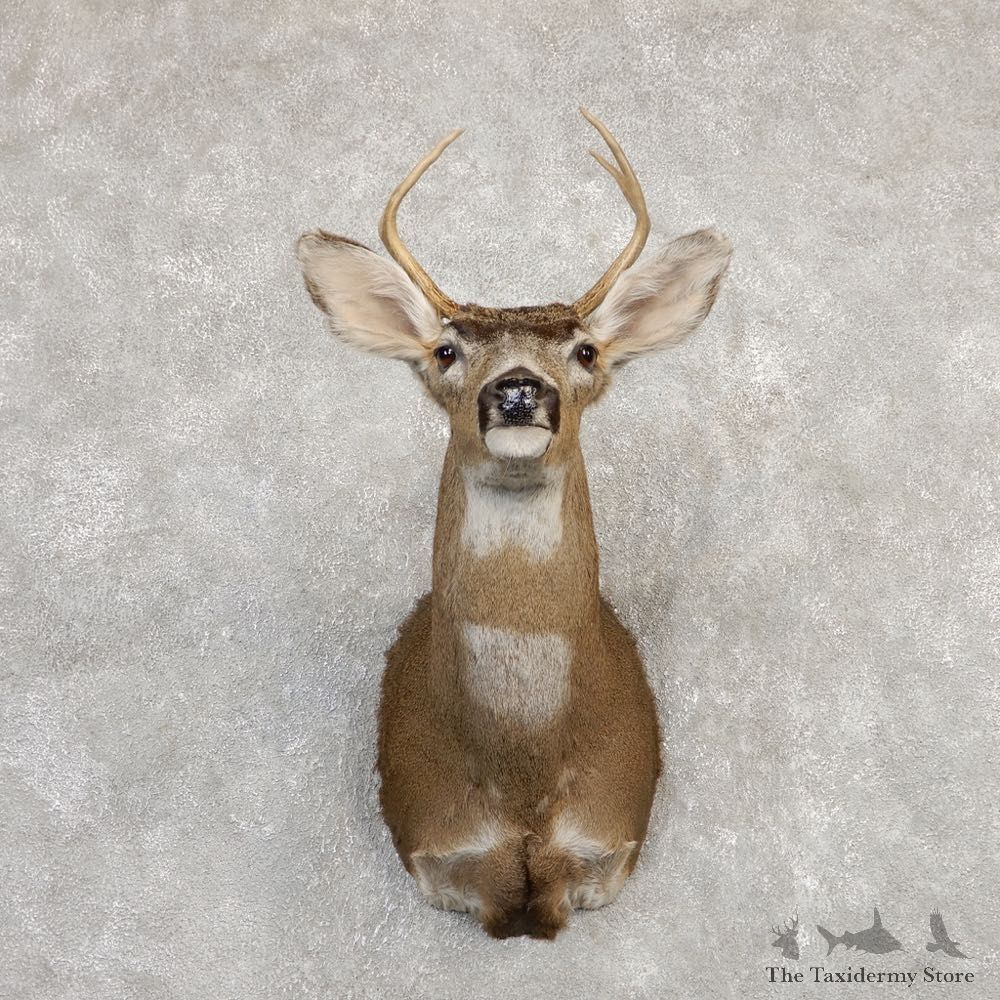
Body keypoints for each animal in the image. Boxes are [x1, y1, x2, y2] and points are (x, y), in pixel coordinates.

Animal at [296, 108, 731, 939]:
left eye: (586, 350)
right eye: (445, 349)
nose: (521, 390)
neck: (522, 776)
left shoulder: (606, 847)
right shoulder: (442, 855)